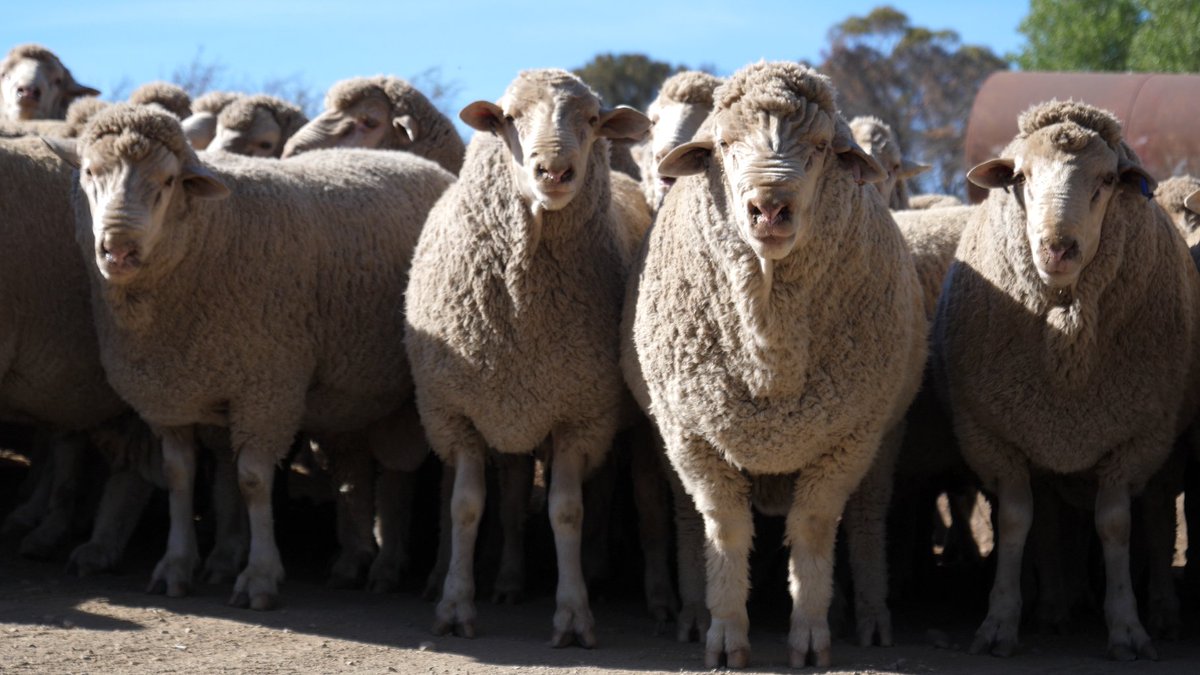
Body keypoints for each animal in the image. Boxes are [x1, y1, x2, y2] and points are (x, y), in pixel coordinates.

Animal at [48, 104, 455, 610]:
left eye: (168, 181)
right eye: (88, 172)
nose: (118, 250)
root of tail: (421, 162)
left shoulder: (268, 390)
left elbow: (253, 481)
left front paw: (259, 576)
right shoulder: (172, 394)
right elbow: (179, 475)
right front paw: (178, 565)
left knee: (410, 472)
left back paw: (403, 567)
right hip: (353, 392)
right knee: (358, 467)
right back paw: (354, 560)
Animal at [405, 68, 650, 647]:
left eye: (592, 119)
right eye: (508, 119)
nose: (554, 171)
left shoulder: (580, 417)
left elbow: (567, 511)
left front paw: (574, 614)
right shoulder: (458, 414)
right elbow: (467, 507)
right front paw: (455, 606)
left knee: (598, 492)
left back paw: (594, 571)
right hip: (511, 410)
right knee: (514, 496)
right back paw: (510, 581)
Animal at [624, 61, 926, 668]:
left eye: (822, 146)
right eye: (723, 144)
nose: (769, 207)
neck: (769, 348)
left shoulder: (846, 440)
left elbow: (812, 530)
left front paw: (810, 633)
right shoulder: (692, 437)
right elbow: (723, 529)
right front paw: (724, 632)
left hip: (885, 433)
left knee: (866, 519)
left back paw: (870, 615)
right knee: (688, 520)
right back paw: (692, 613)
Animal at [934, 100, 1199, 660]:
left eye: (1107, 180)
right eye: (1021, 177)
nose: (1059, 249)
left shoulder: (1132, 439)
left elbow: (1116, 527)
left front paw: (1126, 627)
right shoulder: (997, 436)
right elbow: (1017, 523)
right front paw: (999, 622)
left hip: (1162, 443)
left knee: (1158, 516)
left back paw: (1161, 610)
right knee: (1052, 521)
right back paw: (1055, 605)